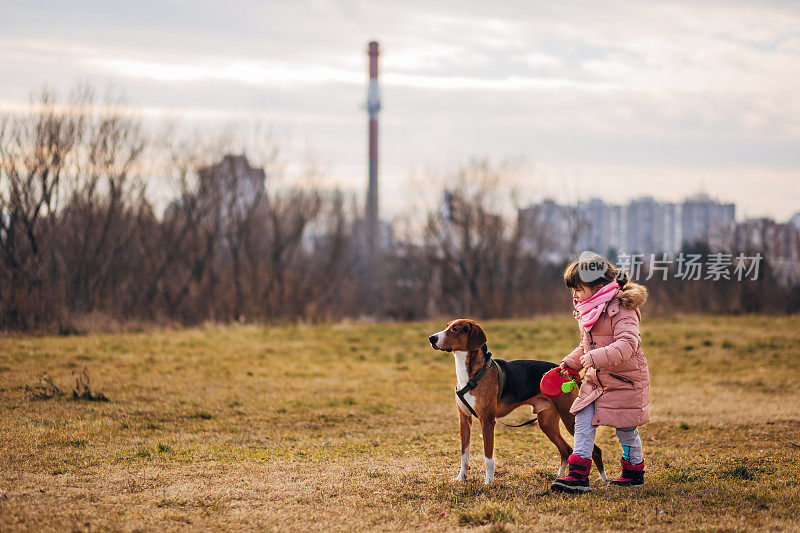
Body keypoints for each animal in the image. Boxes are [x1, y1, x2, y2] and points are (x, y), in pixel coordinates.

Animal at [428, 318, 604, 484]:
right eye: (447, 326)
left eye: (455, 329)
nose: (431, 338)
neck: (472, 374)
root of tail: (564, 372)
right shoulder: (464, 420)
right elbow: (464, 455)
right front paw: (461, 478)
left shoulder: (487, 421)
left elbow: (488, 457)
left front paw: (489, 481)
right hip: (547, 424)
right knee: (565, 450)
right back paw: (560, 476)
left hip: (570, 419)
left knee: (595, 450)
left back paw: (602, 479)